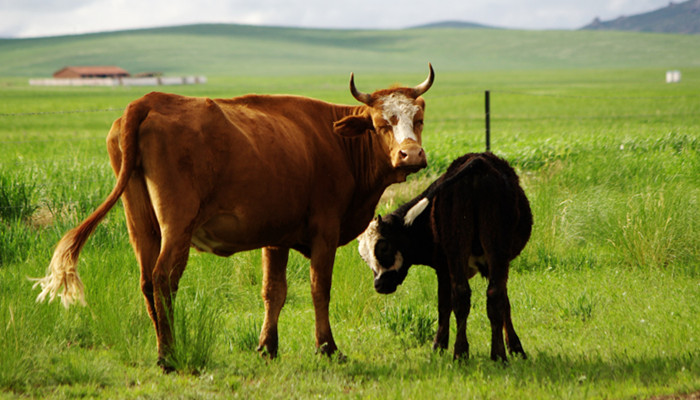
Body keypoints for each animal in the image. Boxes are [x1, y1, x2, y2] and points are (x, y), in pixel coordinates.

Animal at [37, 65, 438, 368]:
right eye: (381, 123)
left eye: (419, 119)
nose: (411, 155)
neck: (337, 143)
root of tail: (149, 100)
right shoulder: (324, 232)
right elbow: (318, 289)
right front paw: (327, 348)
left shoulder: (276, 236)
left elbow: (273, 292)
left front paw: (267, 347)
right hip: (177, 225)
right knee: (164, 278)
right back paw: (170, 355)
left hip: (142, 225)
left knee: (148, 282)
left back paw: (163, 348)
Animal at [358, 152, 532, 362]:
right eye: (364, 257)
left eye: (384, 247)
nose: (379, 285)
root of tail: (477, 164)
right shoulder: (449, 267)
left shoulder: (444, 267)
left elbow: (446, 304)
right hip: (485, 247)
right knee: (485, 295)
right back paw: (487, 354)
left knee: (469, 296)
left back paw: (469, 353)